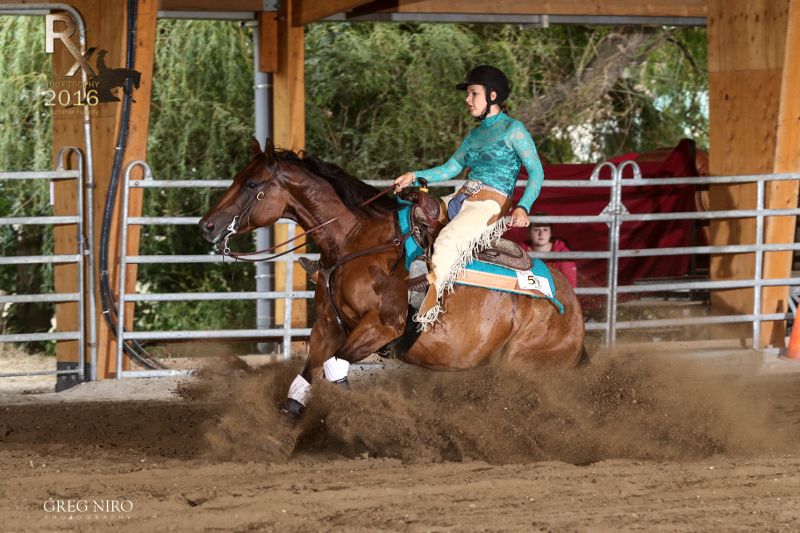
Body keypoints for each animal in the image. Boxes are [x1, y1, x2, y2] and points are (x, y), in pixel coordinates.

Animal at [200, 138, 588, 420]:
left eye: (252, 183)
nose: (207, 226)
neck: (355, 241)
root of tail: (573, 307)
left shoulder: (382, 327)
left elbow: (334, 367)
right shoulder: (327, 326)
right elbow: (303, 382)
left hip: (524, 363)